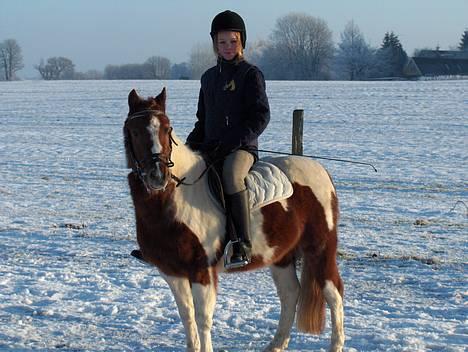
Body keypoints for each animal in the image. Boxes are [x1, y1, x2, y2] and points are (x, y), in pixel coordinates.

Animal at [123, 88, 344, 352]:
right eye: (135, 131)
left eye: (167, 129)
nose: (158, 176)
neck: (173, 200)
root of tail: (321, 170)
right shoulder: (171, 272)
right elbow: (187, 316)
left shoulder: (201, 270)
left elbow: (202, 319)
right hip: (280, 255)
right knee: (291, 294)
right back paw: (276, 345)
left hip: (320, 249)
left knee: (334, 294)